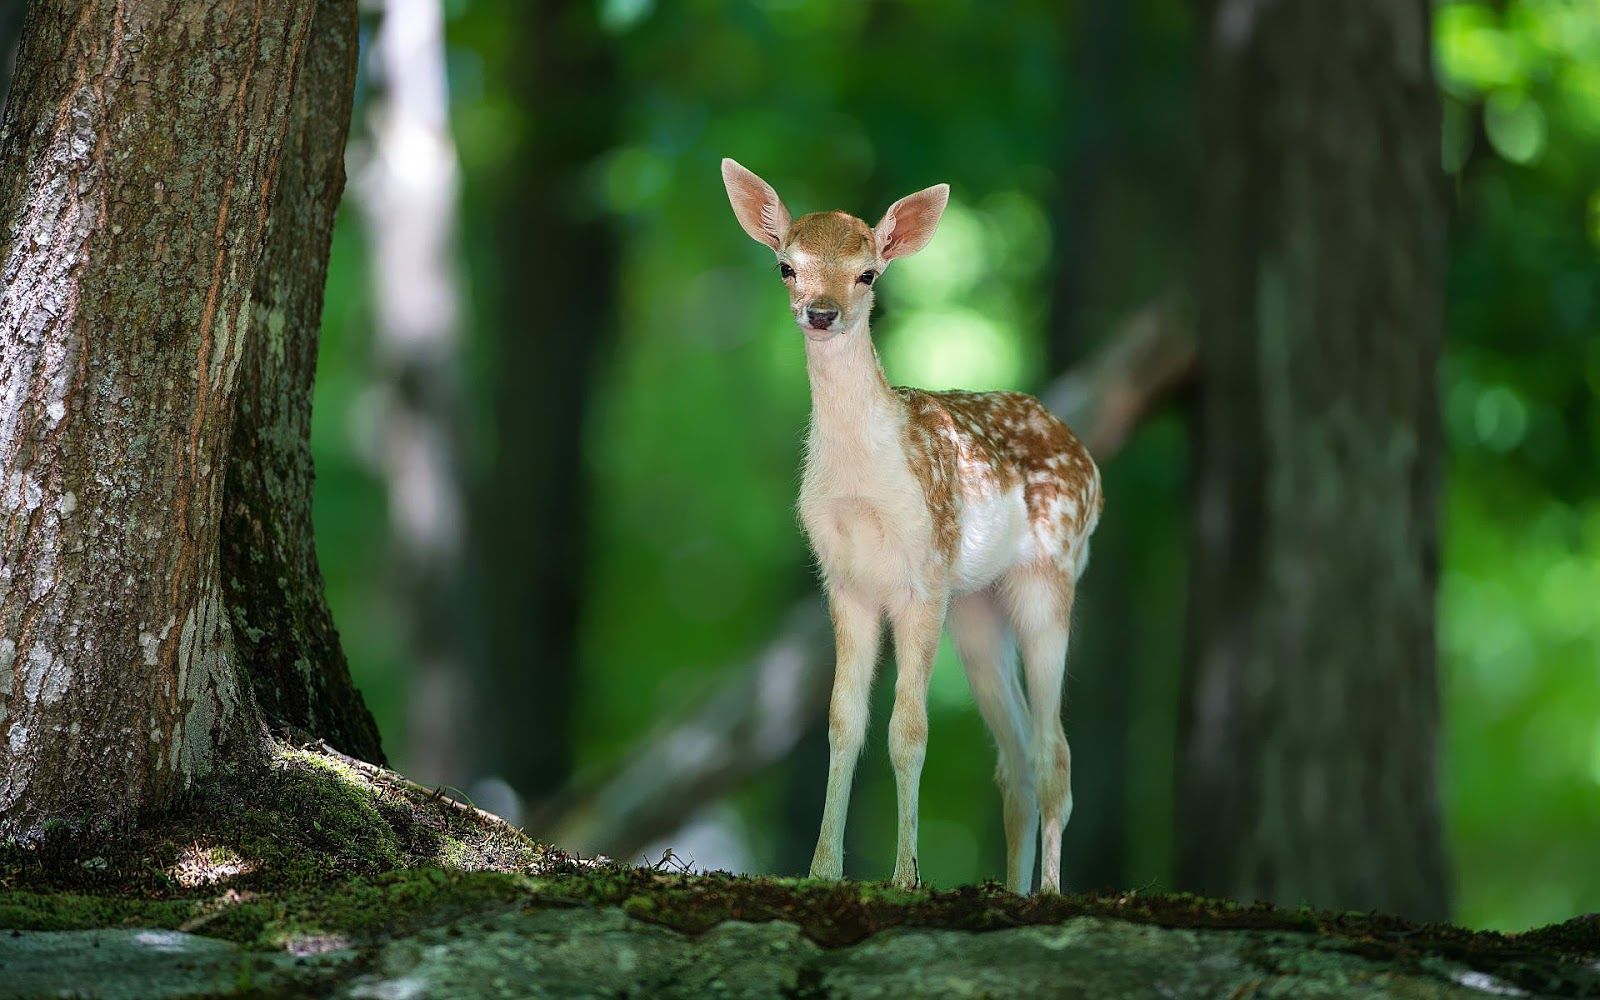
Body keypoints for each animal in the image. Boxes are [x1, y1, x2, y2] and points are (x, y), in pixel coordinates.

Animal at [723, 157, 1100, 896]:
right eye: (786, 265)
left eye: (868, 272)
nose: (821, 312)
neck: (865, 483)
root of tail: (1089, 462)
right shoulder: (844, 581)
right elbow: (844, 723)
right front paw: (821, 871)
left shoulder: (923, 575)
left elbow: (909, 730)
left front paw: (904, 876)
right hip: (976, 606)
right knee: (1015, 758)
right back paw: (1013, 887)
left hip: (1049, 574)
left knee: (1057, 751)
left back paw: (1047, 891)